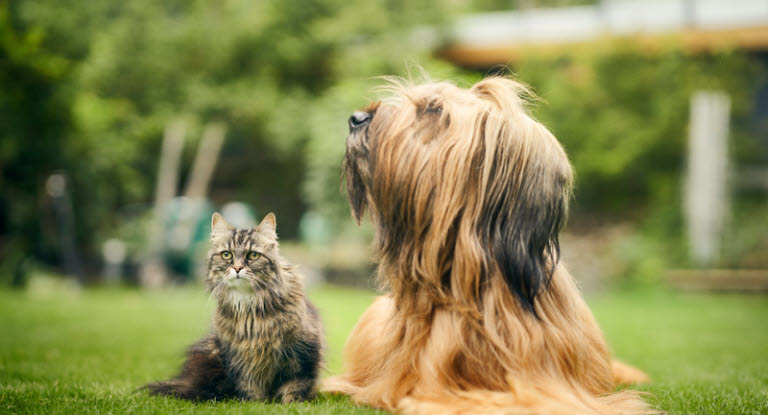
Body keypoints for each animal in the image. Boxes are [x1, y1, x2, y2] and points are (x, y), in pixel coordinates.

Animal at [146, 211, 326, 404]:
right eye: (227, 255)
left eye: (253, 255)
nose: (238, 268)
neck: (249, 307)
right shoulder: (240, 360)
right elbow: (250, 388)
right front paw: (254, 405)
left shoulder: (301, 354)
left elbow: (294, 387)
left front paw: (291, 405)